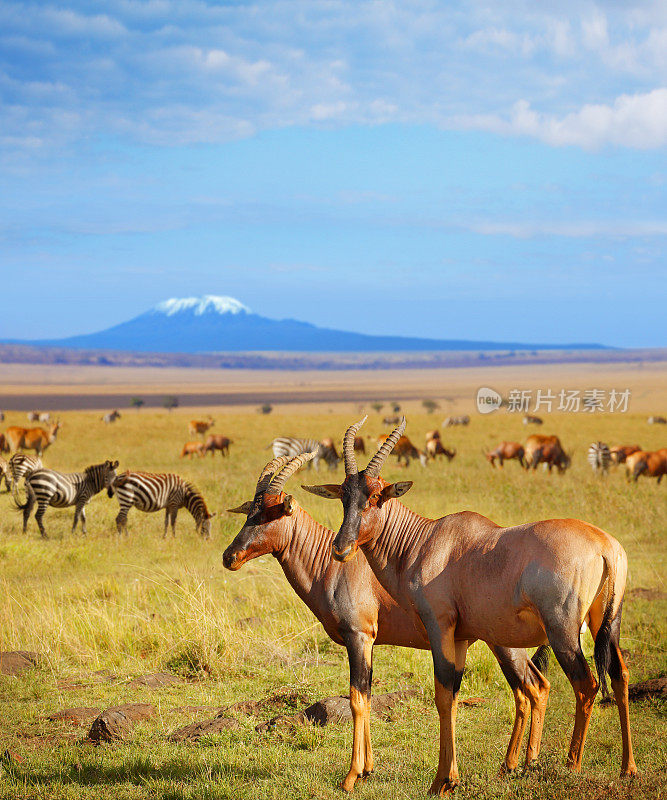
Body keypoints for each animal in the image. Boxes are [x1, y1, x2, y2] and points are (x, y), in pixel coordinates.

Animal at [226, 454, 552, 792]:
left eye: (271, 512)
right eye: (249, 511)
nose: (229, 556)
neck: (334, 565)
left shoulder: (358, 636)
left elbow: (357, 699)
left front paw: (351, 776)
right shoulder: (370, 642)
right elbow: (367, 696)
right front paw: (367, 769)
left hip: (503, 643)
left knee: (533, 687)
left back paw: (524, 764)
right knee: (530, 689)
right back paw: (511, 766)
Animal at [302, 418, 636, 792]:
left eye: (375, 496)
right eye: (344, 496)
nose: (340, 548)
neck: (428, 540)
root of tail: (605, 546)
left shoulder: (440, 628)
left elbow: (442, 694)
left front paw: (441, 781)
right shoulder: (461, 636)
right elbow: (452, 695)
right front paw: (449, 778)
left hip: (563, 632)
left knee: (586, 684)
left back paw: (571, 765)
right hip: (608, 622)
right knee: (619, 675)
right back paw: (627, 768)